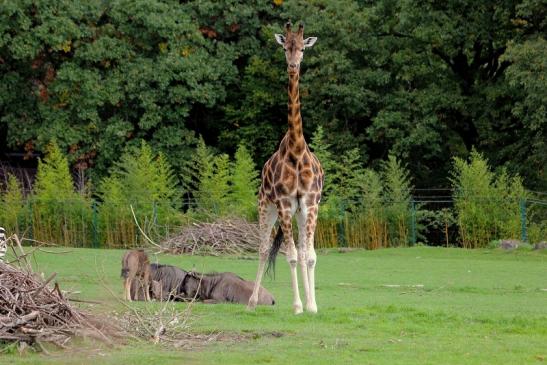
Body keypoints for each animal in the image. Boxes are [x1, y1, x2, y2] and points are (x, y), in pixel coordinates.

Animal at [249, 22, 326, 312]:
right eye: (285, 48)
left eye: (303, 48)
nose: (293, 66)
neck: (296, 150)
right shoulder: (283, 203)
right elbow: (291, 255)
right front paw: (297, 306)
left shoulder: (310, 202)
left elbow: (309, 255)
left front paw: (312, 306)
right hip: (267, 206)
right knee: (262, 249)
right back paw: (251, 301)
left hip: (299, 211)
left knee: (302, 251)